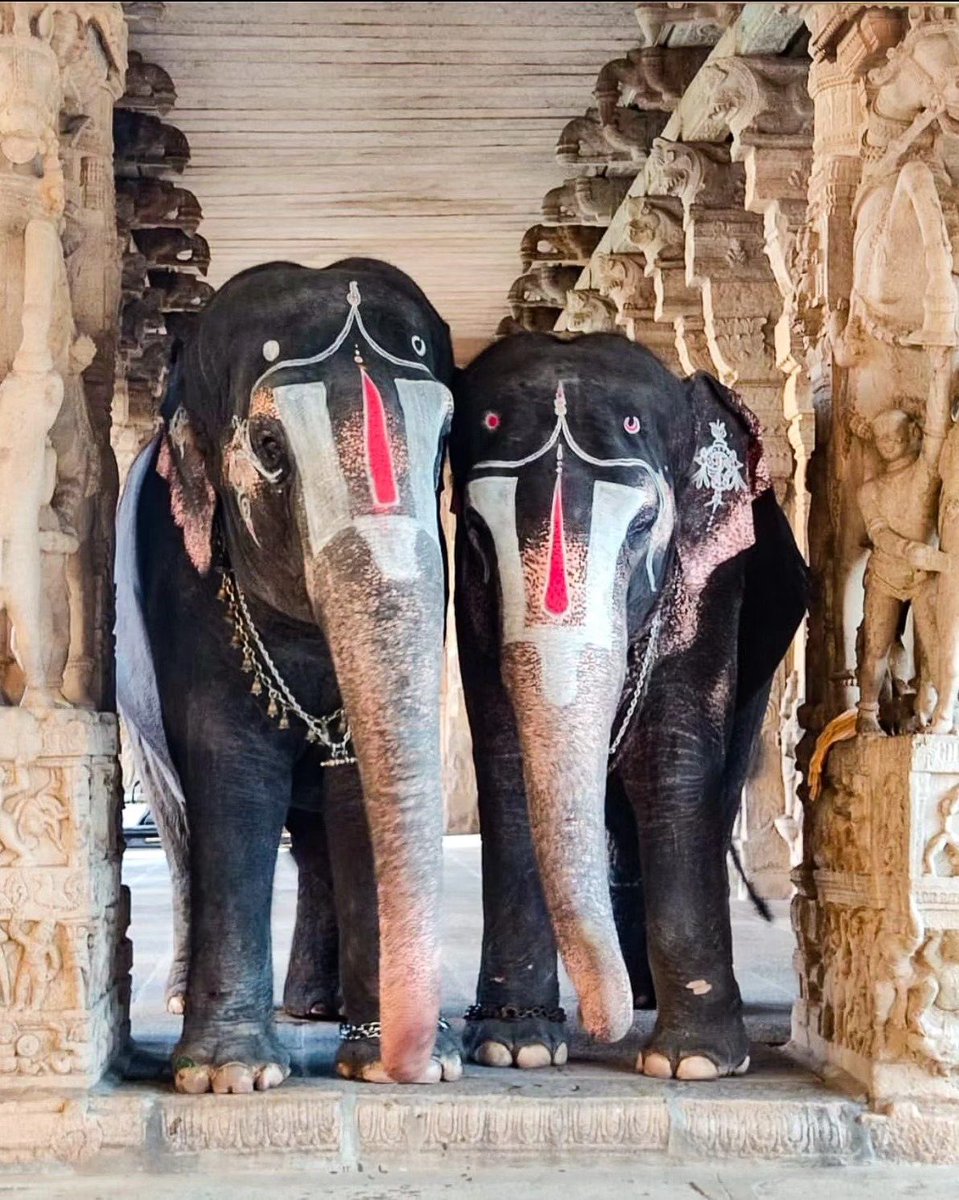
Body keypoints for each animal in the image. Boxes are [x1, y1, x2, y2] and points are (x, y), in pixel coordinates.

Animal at [116, 258, 462, 1092]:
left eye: (446, 438)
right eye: (270, 443)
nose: (418, 1057)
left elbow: (355, 789)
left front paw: (395, 1064)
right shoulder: (186, 580)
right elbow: (233, 771)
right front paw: (230, 1077)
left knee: (310, 837)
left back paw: (316, 1007)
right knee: (178, 823)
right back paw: (186, 1001)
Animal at [450, 333, 807, 1079]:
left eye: (644, 527)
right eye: (475, 531)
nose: (595, 1025)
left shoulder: (711, 574)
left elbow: (673, 762)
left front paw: (695, 1063)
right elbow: (503, 760)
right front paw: (515, 1048)